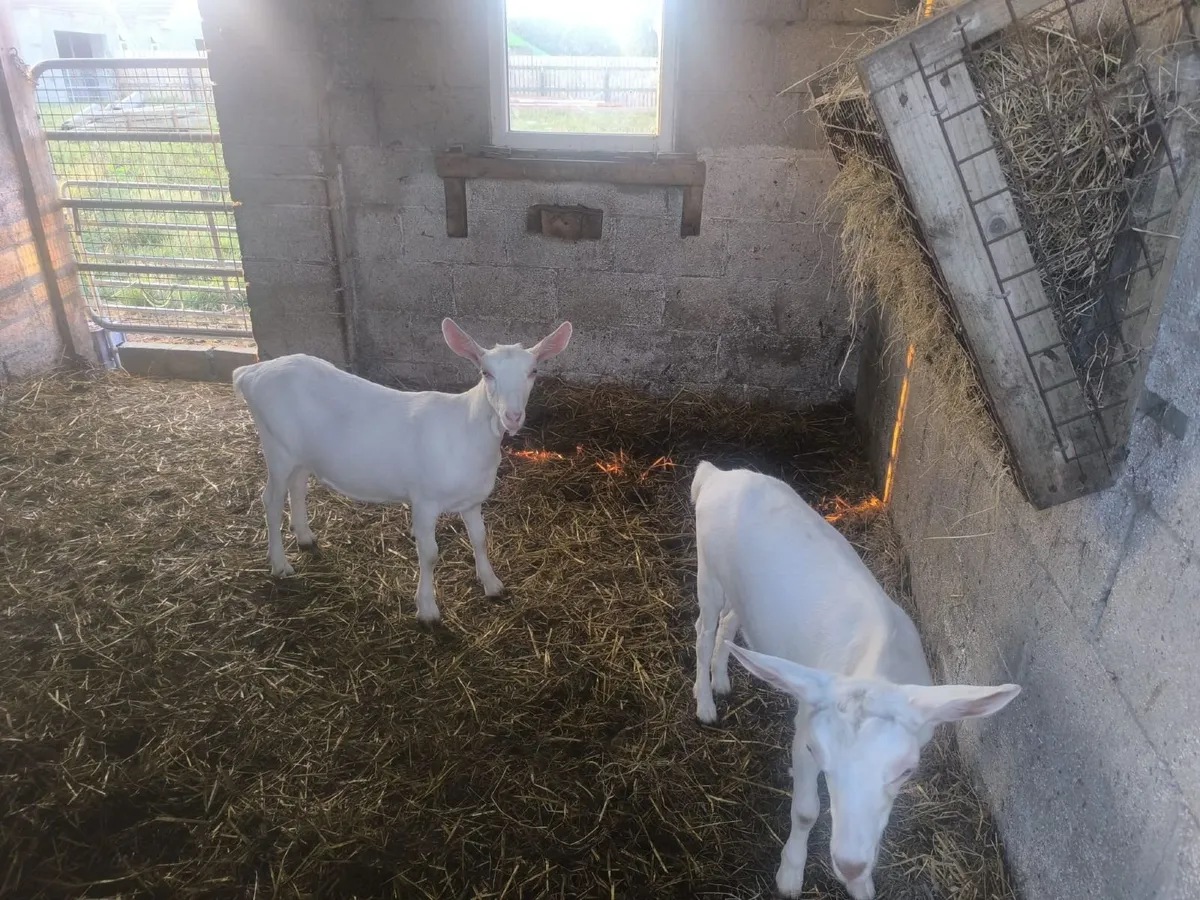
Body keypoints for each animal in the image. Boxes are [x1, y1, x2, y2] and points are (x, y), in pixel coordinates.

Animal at [232, 318, 573, 622]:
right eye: (485, 373)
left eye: (533, 371)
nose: (512, 416)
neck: (466, 429)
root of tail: (249, 372)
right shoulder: (424, 500)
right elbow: (430, 553)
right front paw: (427, 610)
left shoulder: (473, 499)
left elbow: (479, 537)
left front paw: (492, 584)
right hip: (276, 446)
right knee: (270, 500)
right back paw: (280, 564)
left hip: (301, 453)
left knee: (298, 486)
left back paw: (305, 537)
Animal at [690, 461, 1020, 900]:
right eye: (817, 751)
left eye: (906, 771)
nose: (849, 863)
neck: (874, 663)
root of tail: (718, 473)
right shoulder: (806, 723)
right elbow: (806, 811)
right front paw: (790, 876)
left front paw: (861, 885)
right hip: (707, 570)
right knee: (705, 629)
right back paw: (705, 703)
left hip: (742, 594)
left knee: (730, 625)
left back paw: (723, 679)